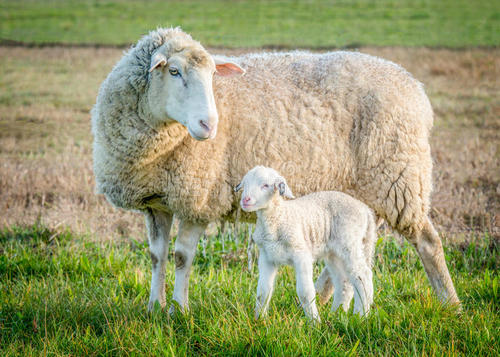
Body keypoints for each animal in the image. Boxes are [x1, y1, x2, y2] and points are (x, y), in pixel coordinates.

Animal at [236, 165, 376, 322]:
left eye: (265, 185)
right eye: (244, 184)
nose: (245, 200)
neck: (278, 218)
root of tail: (365, 210)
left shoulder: (301, 254)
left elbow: (305, 292)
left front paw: (314, 322)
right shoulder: (267, 257)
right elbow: (263, 291)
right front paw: (260, 320)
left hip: (350, 242)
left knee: (362, 276)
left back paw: (360, 315)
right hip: (334, 253)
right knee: (344, 281)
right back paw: (336, 314)